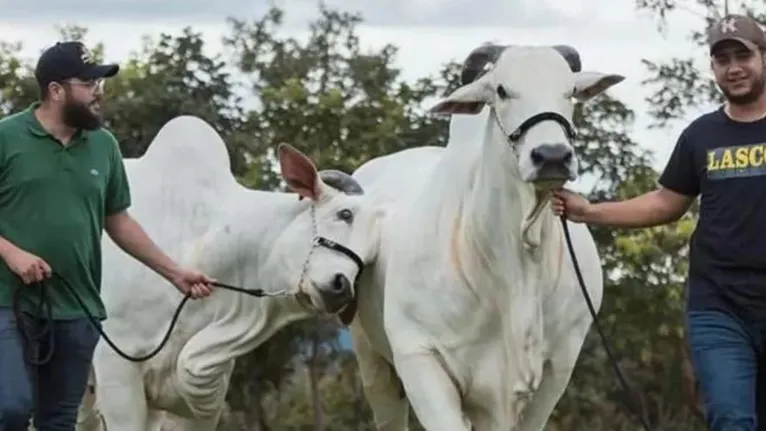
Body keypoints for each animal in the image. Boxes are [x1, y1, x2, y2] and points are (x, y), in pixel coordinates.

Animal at [352, 42, 628, 430]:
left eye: (570, 90)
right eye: (501, 90)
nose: (552, 156)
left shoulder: (557, 368)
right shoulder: (419, 357)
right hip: (372, 361)